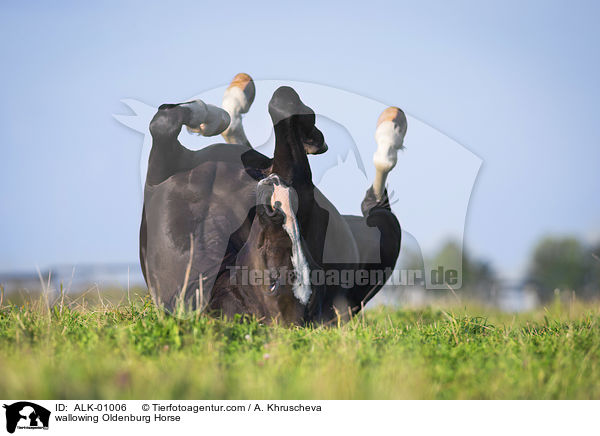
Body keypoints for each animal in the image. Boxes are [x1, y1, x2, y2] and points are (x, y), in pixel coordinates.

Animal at [140, 76, 404, 326]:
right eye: (274, 281)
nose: (278, 206)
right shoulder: (161, 172)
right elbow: (165, 122)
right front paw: (216, 117)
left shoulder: (297, 178)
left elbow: (282, 103)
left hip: (389, 233)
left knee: (378, 205)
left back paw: (389, 134)